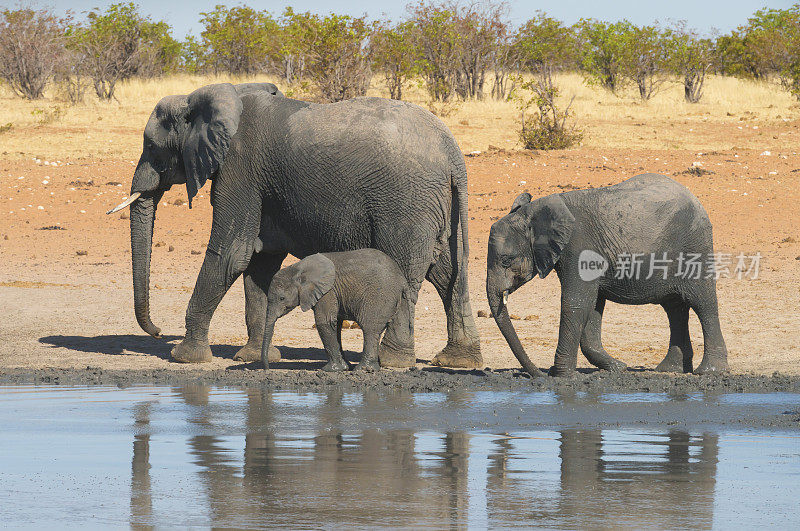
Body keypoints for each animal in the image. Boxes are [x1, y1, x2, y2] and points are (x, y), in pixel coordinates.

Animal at [260, 250, 412, 372]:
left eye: (281, 298)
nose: (267, 368)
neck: (298, 269)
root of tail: (402, 278)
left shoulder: (328, 291)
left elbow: (325, 322)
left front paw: (331, 369)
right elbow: (336, 325)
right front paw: (345, 367)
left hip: (379, 296)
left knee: (369, 329)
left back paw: (363, 370)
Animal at [488, 175, 732, 378]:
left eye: (506, 260)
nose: (539, 374)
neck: (533, 212)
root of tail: (695, 198)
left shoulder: (579, 246)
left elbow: (576, 303)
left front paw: (562, 376)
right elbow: (592, 306)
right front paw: (617, 368)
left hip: (696, 245)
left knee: (702, 303)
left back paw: (710, 371)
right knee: (674, 309)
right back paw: (668, 369)